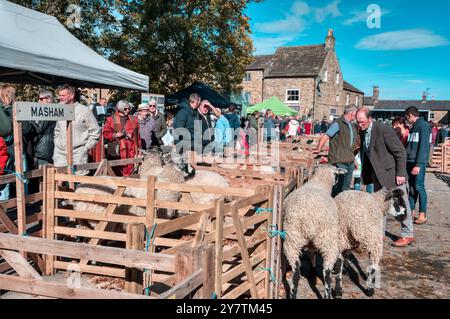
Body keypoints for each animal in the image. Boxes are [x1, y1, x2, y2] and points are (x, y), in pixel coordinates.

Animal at [284, 165, 346, 300]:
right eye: (336, 173)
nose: (337, 181)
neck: (320, 181)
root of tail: (308, 218)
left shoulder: (311, 243)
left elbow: (312, 253)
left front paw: (312, 273)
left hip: (292, 239)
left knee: (296, 270)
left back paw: (293, 293)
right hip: (327, 240)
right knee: (327, 272)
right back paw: (329, 294)